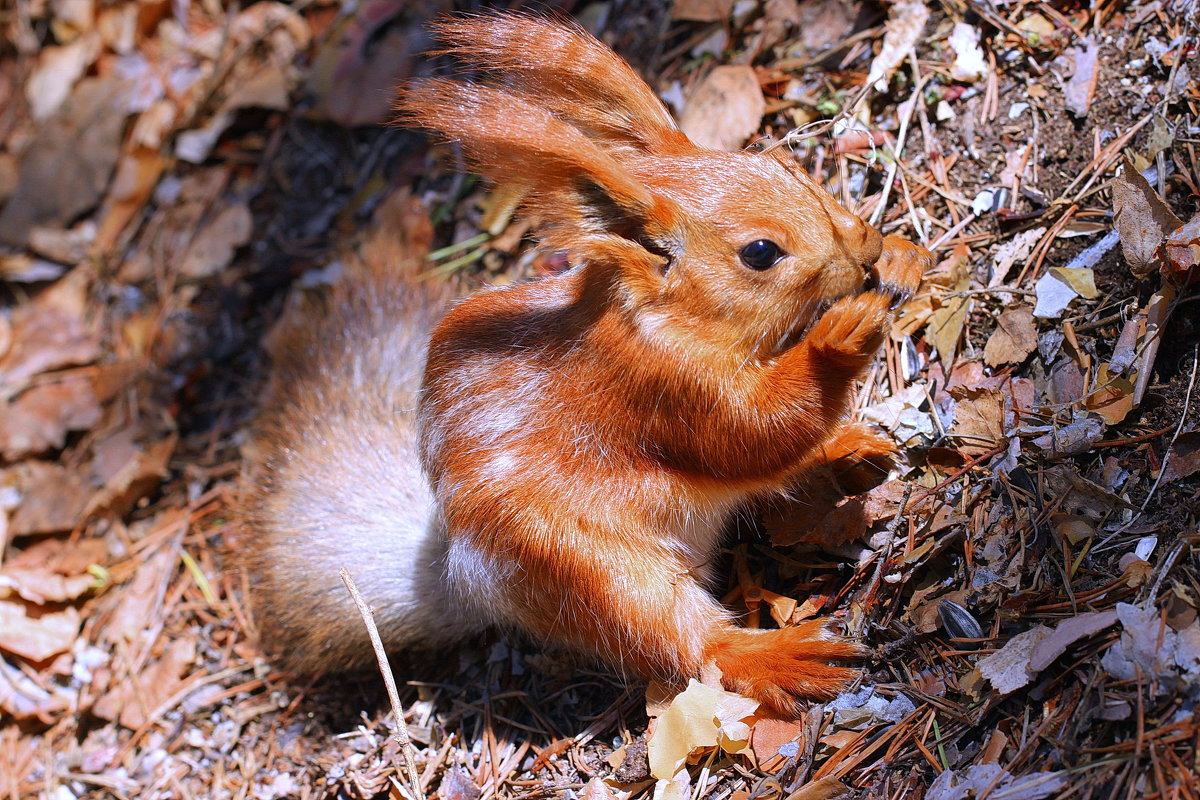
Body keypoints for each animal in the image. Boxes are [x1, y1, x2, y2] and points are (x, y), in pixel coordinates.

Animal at [241, 12, 926, 714]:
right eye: (760, 252)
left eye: (779, 163)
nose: (865, 248)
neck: (663, 318)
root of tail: (467, 581)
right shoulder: (661, 386)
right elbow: (749, 433)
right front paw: (837, 337)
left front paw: (900, 257)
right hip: (589, 569)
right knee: (687, 640)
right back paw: (777, 655)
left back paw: (844, 450)